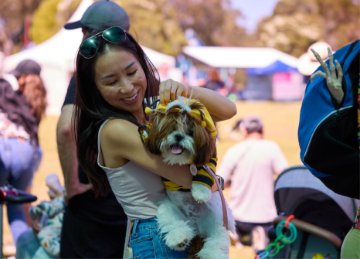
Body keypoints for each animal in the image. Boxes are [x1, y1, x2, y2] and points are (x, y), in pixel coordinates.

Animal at [142, 98, 235, 259]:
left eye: (190, 133)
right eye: (171, 129)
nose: (179, 136)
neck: (181, 161)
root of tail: (195, 225)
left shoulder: (207, 162)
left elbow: (202, 176)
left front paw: (200, 193)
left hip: (216, 220)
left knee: (217, 239)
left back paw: (212, 253)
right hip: (168, 208)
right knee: (173, 223)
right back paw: (179, 239)